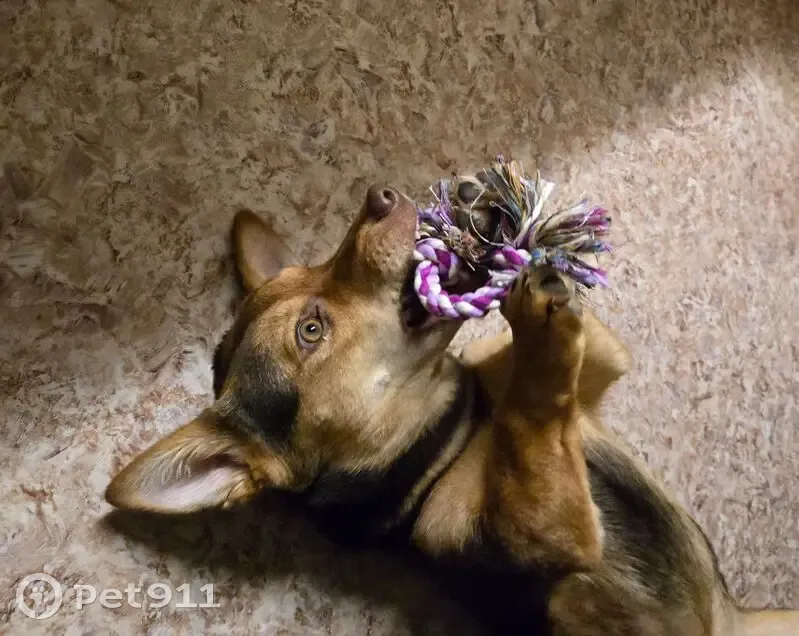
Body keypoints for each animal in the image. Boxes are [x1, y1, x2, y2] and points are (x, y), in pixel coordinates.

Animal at [105, 184, 799, 635]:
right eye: (310, 331)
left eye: (316, 265)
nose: (382, 197)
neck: (459, 433)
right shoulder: (540, 528)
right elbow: (532, 414)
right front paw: (530, 294)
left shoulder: (596, 371)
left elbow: (540, 376)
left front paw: (507, 232)